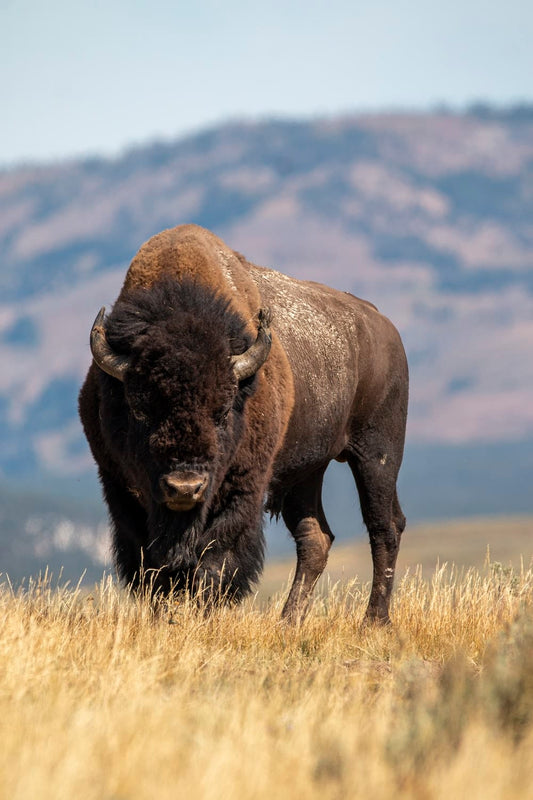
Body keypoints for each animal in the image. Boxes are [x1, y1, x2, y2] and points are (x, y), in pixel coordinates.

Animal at [79, 225, 408, 624]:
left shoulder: (243, 487)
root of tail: (382, 325)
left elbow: (215, 558)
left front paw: (203, 616)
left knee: (384, 527)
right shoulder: (120, 486)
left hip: (377, 455)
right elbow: (150, 566)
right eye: (140, 409)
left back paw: (373, 621)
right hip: (305, 472)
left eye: (222, 411)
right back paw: (288, 621)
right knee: (315, 538)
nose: (184, 487)